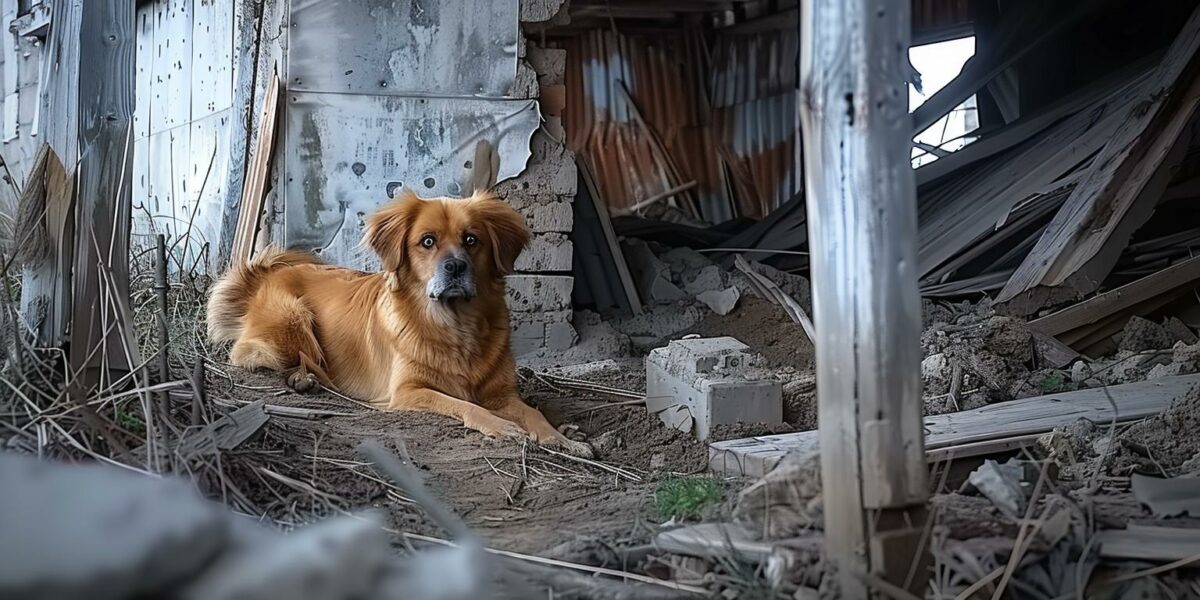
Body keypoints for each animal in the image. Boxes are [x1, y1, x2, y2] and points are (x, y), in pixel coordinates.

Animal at [211, 189, 595, 456]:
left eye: (472, 240)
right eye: (427, 241)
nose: (455, 267)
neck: (456, 327)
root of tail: (266, 274)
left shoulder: (503, 393)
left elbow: (534, 413)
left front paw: (560, 437)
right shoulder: (408, 390)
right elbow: (464, 404)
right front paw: (500, 426)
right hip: (293, 319)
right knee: (260, 356)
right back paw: (303, 379)